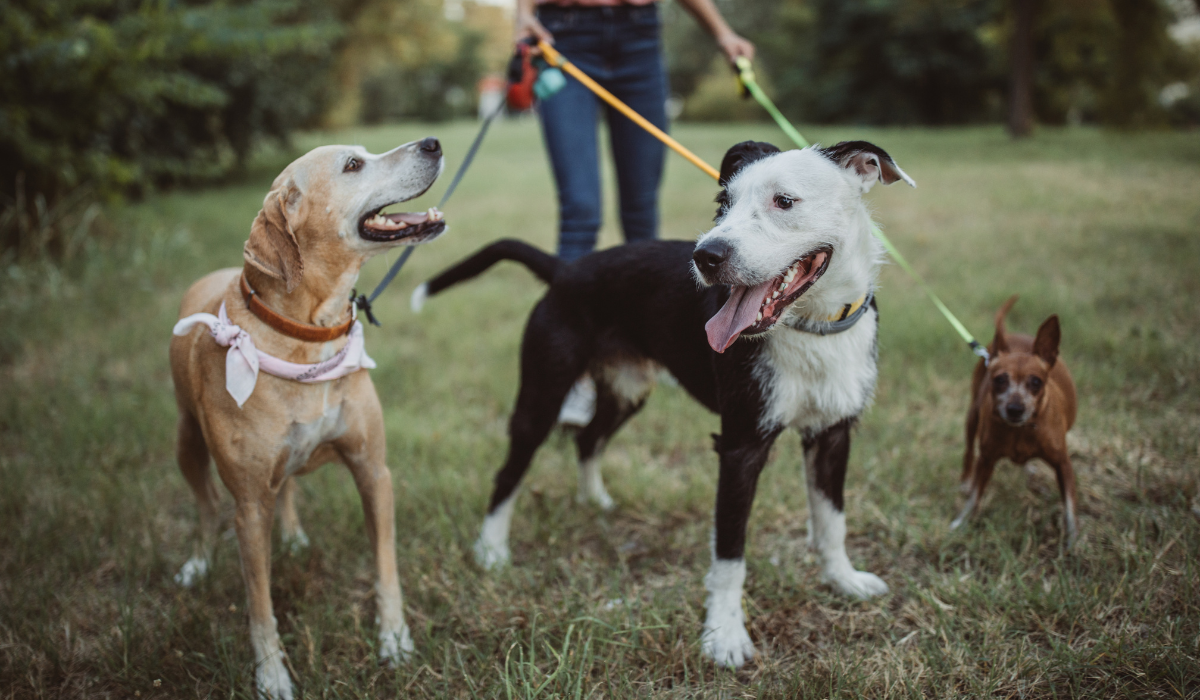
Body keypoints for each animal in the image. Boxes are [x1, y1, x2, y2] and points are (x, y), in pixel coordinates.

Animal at [170, 138, 446, 700]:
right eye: (353, 165)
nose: (433, 143)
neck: (309, 334)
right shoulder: (249, 506)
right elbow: (259, 603)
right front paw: (271, 674)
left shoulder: (373, 471)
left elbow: (386, 566)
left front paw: (395, 640)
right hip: (186, 441)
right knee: (206, 508)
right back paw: (198, 563)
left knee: (289, 485)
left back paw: (294, 535)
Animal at [415, 138, 916, 667]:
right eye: (723, 203)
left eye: (785, 201)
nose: (706, 256)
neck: (812, 327)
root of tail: (566, 269)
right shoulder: (740, 446)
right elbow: (730, 552)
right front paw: (724, 635)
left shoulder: (833, 434)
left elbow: (832, 521)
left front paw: (843, 581)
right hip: (542, 395)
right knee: (510, 473)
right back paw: (491, 550)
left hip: (627, 391)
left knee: (589, 439)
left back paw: (594, 501)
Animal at [950, 295, 1084, 547]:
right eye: (999, 379)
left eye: (1036, 382)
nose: (1015, 409)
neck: (1020, 431)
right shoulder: (986, 460)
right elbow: (974, 496)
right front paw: (961, 523)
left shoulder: (1063, 464)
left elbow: (1071, 507)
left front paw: (1074, 540)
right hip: (972, 417)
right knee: (968, 452)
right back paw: (965, 480)